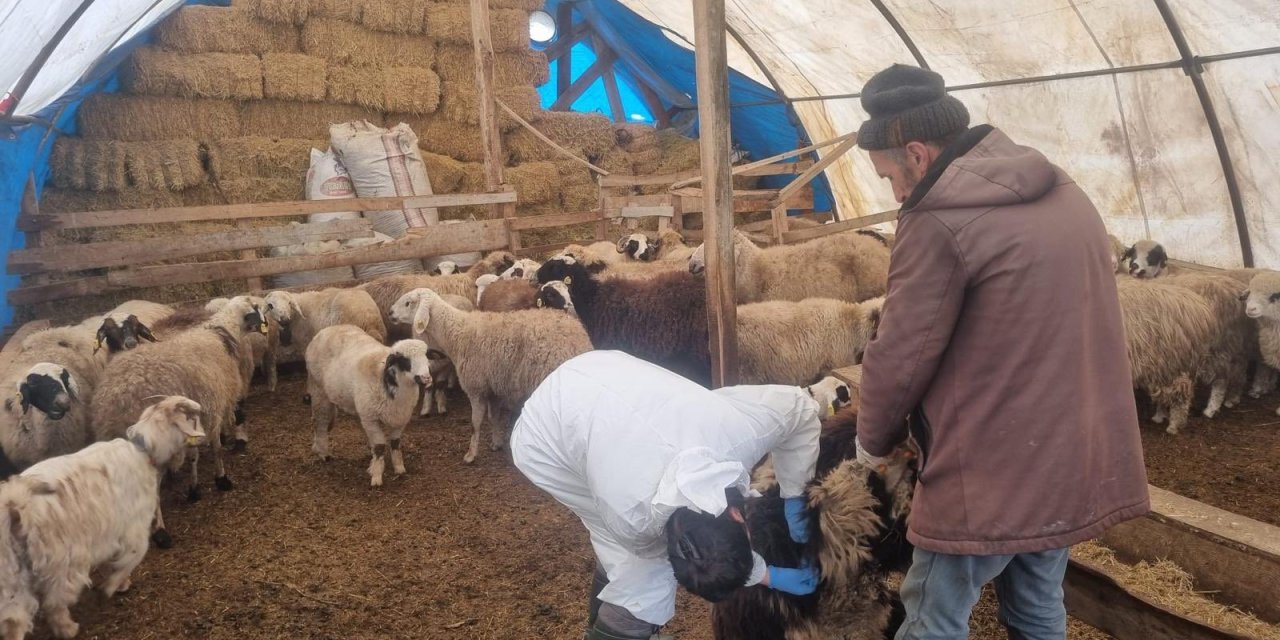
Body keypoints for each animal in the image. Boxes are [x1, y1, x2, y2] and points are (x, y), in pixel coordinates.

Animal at [0, 396, 205, 640]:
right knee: (54, 603)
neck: (142, 451)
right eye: (192, 418)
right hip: (61, 564)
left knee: (14, 622)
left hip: (11, 579)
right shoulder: (135, 531)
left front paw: (121, 583)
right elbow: (129, 560)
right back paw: (68, 628)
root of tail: (14, 503)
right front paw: (112, 586)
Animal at [90, 296, 266, 505]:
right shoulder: (211, 405)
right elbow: (212, 449)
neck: (217, 332)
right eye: (255, 310)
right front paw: (217, 480)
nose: (266, 326)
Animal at [305, 326, 432, 486]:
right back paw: (323, 453)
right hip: (319, 391)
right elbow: (379, 446)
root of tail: (326, 330)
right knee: (320, 421)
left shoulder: (401, 417)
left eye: (426, 356)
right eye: (405, 360)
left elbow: (395, 443)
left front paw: (399, 468)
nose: (426, 378)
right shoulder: (371, 418)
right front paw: (377, 476)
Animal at [395, 288, 592, 463]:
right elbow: (493, 418)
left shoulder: (476, 388)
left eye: (408, 303)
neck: (456, 333)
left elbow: (475, 423)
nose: (390, 313)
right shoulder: (493, 389)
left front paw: (470, 455)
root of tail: (579, 337)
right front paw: (497, 443)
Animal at [1114, 278, 1217, 434]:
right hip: (1161, 367)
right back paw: (1159, 416)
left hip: (1174, 366)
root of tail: (1199, 307)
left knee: (1180, 395)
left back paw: (1173, 426)